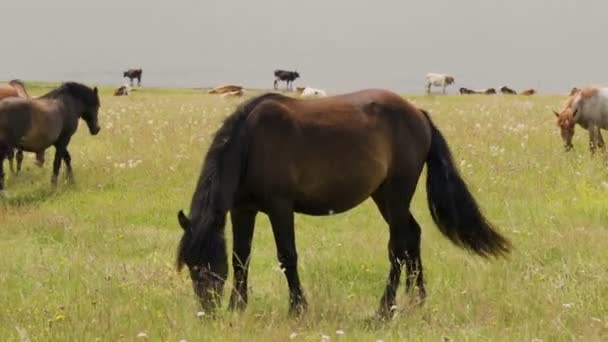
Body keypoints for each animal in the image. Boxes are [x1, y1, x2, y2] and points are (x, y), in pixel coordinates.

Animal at [178, 89, 510, 320]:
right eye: (191, 266)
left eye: (208, 265)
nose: (207, 313)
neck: (250, 143)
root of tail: (417, 113)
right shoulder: (242, 209)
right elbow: (241, 257)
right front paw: (237, 307)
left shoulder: (280, 207)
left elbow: (287, 257)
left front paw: (298, 308)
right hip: (383, 196)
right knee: (412, 237)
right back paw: (417, 300)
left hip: (397, 193)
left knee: (398, 246)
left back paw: (384, 310)